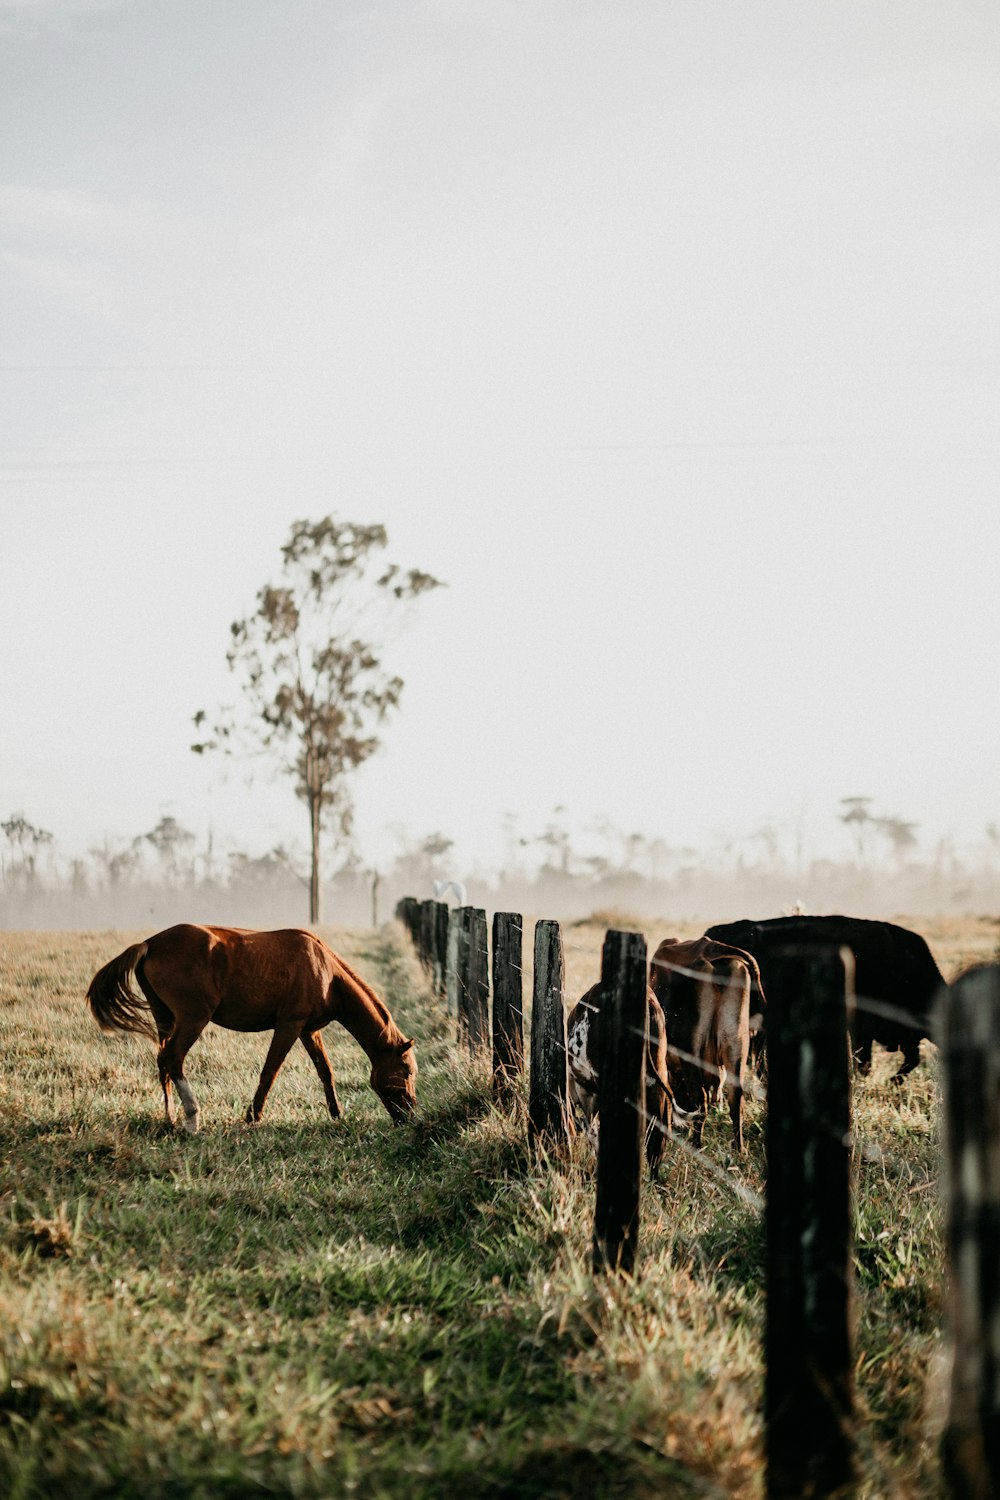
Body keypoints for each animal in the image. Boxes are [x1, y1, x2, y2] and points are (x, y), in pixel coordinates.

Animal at [86, 918, 413, 1128]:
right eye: (407, 1071)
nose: (409, 1116)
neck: (325, 971)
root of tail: (150, 944)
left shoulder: (309, 1030)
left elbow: (325, 1072)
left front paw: (336, 1114)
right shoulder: (289, 1026)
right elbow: (270, 1072)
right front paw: (253, 1116)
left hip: (165, 1017)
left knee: (162, 1061)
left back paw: (169, 1118)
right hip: (193, 1019)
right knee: (173, 1058)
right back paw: (192, 1118)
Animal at [650, 930, 767, 1152]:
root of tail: (709, 948)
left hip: (692, 1050)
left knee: (701, 1100)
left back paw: (696, 1145)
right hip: (736, 1046)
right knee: (735, 1098)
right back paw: (738, 1148)